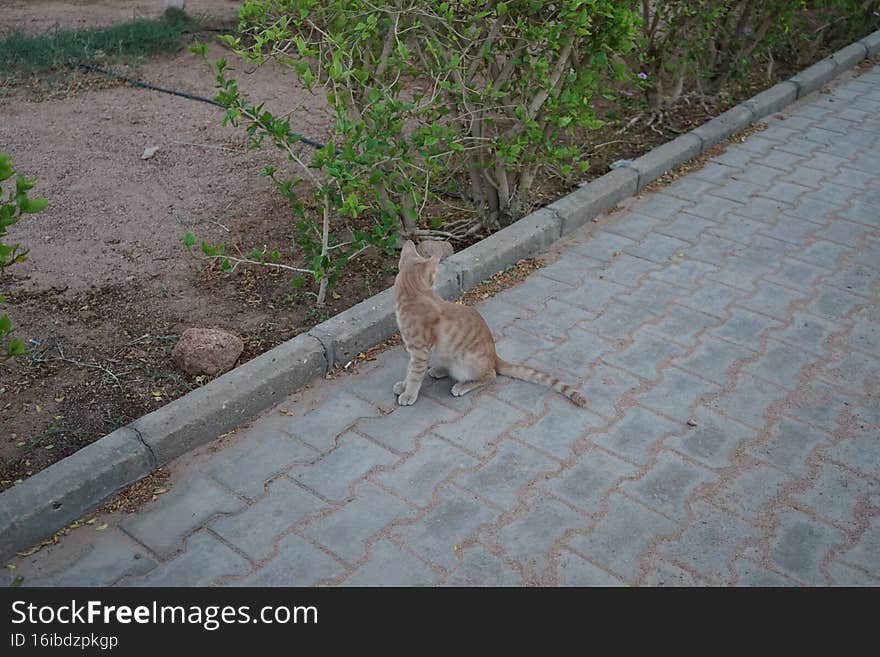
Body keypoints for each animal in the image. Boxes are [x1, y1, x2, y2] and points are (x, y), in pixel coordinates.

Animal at [390, 238, 584, 408]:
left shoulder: (420, 351)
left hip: (467, 362)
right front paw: (404, 385)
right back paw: (439, 370)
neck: (415, 294)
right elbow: (410, 369)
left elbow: (415, 375)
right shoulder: (416, 351)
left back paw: (462, 385)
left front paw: (409, 393)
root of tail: (494, 356)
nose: (435, 278)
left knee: (490, 375)